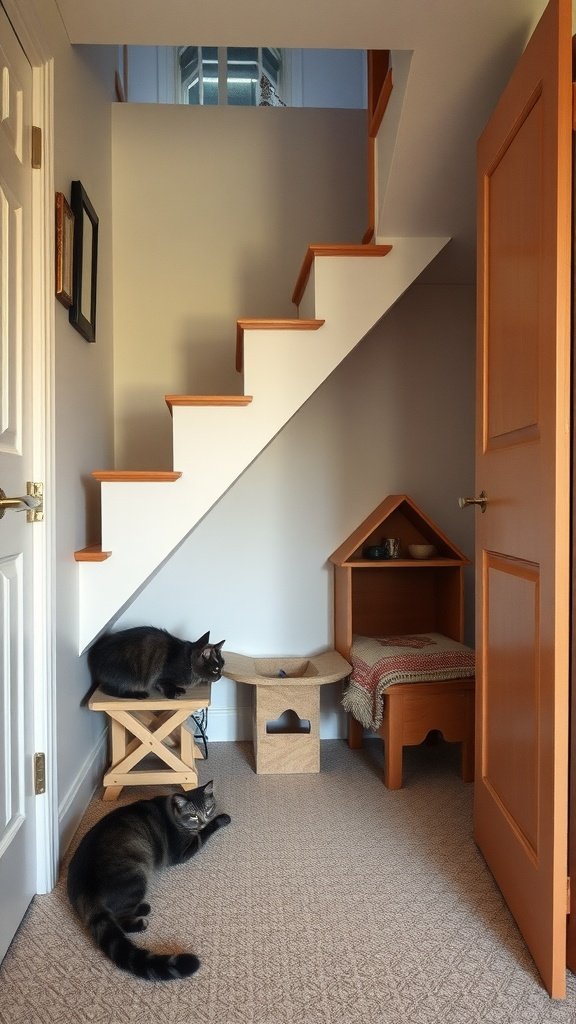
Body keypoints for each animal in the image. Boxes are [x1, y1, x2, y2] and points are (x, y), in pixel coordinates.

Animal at [66, 778, 229, 978]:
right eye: (192, 816)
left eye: (207, 808)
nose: (203, 821)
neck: (172, 812)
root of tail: (84, 890)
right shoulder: (183, 851)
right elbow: (204, 833)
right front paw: (221, 819)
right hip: (136, 876)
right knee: (119, 916)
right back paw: (143, 913)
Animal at [86, 626, 225, 700]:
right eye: (215, 669)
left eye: (222, 666)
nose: (220, 676)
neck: (187, 661)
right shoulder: (161, 677)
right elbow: (165, 684)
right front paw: (173, 693)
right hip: (128, 675)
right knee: (110, 690)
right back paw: (139, 694)